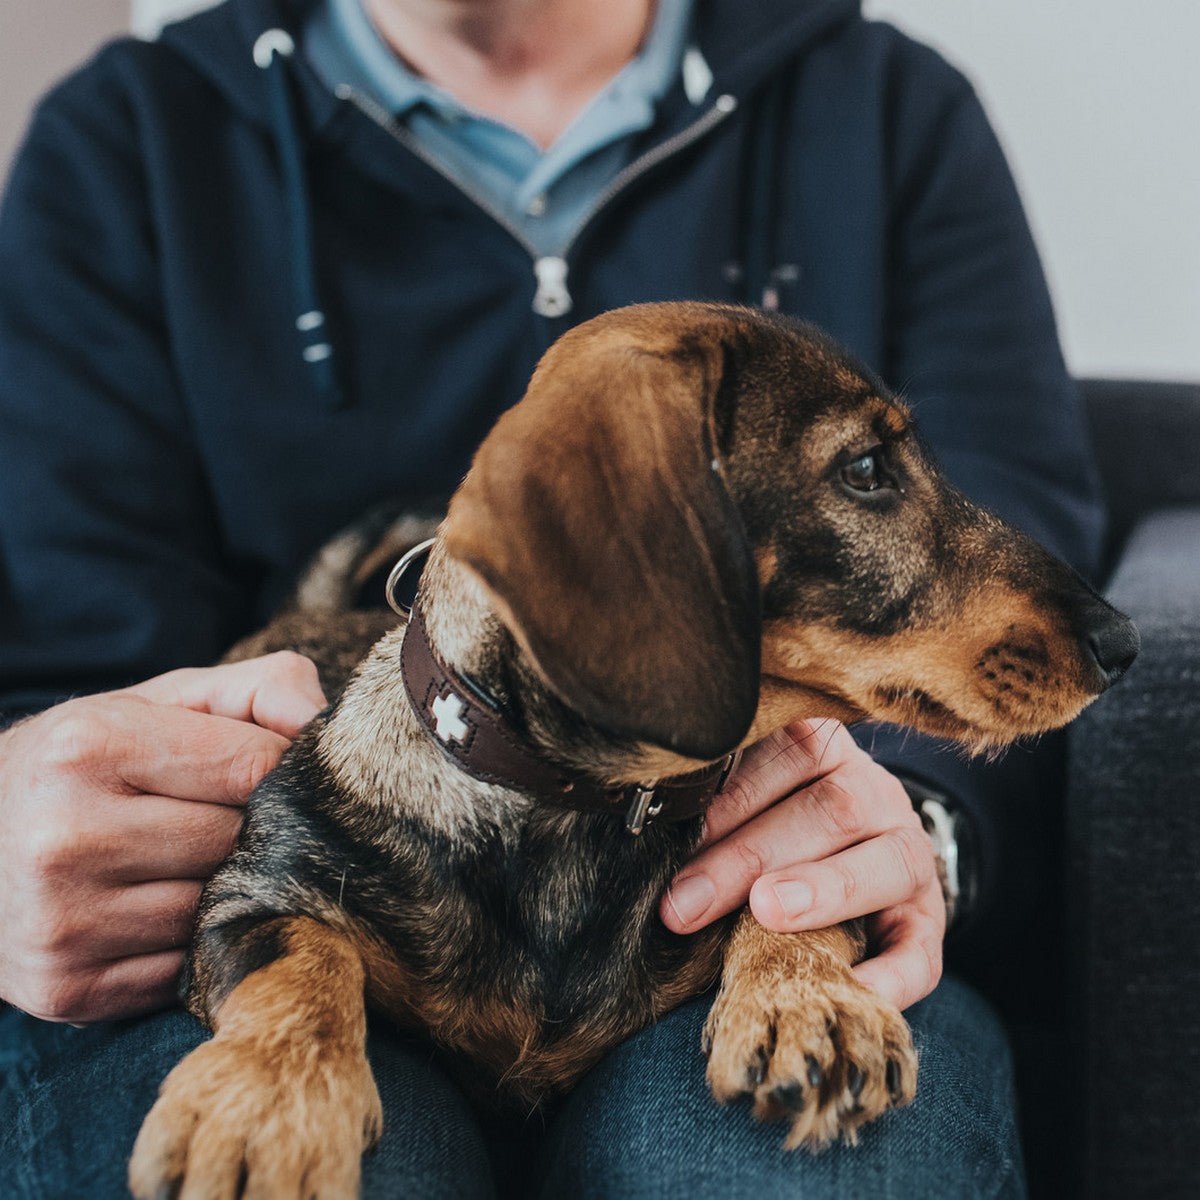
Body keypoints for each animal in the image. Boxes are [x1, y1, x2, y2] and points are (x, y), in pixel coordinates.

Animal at [129, 302, 1132, 1200]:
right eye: (865, 469)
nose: (1120, 642)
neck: (582, 811)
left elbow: (792, 897)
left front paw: (808, 1000)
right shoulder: (252, 895)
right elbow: (301, 957)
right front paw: (268, 1101)